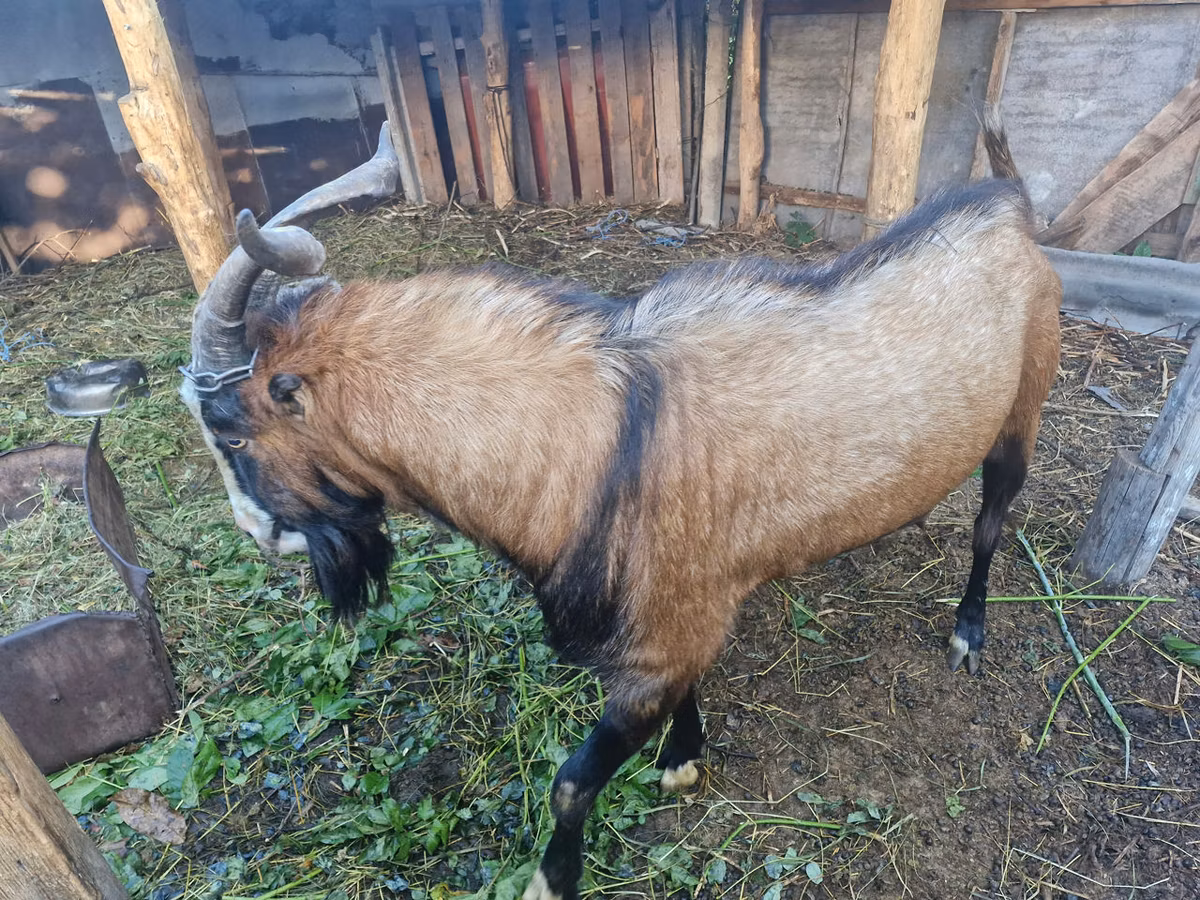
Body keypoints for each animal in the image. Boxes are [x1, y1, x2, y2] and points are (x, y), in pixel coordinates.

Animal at [181, 120, 1061, 900]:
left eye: (231, 431)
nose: (257, 533)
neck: (594, 439)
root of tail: (1010, 209)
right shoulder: (678, 622)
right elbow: (686, 694)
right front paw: (682, 757)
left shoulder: (656, 646)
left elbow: (572, 783)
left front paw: (554, 878)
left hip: (1024, 408)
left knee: (991, 525)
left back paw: (969, 632)